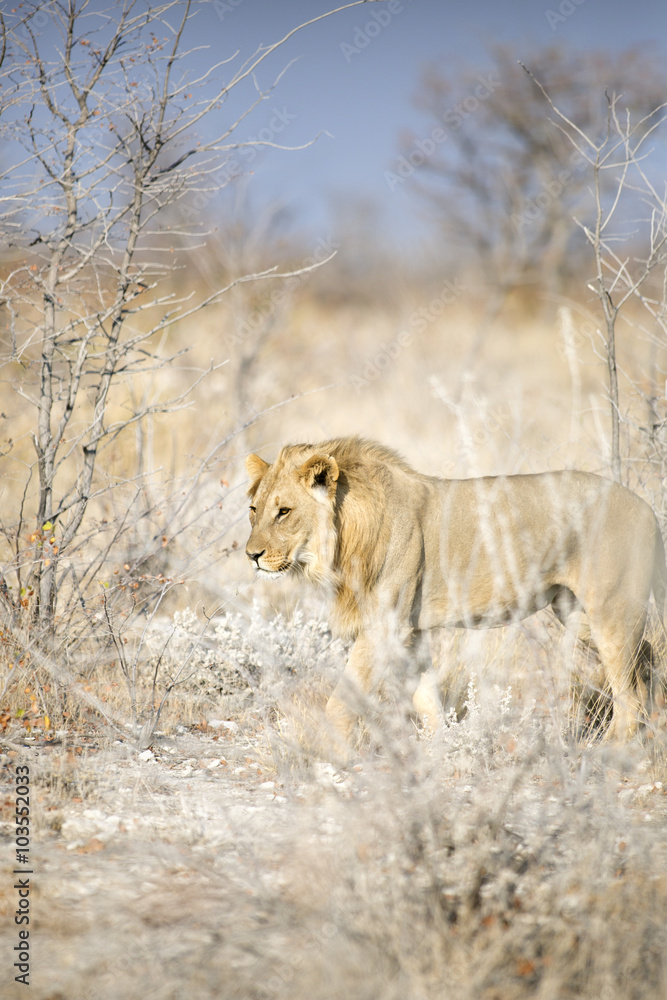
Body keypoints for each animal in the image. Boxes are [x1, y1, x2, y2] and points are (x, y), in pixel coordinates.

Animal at [244, 436, 666, 744]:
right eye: (253, 509)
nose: (251, 556)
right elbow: (426, 697)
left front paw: (327, 757)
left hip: (610, 611)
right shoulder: (410, 631)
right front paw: (440, 752)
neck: (344, 537)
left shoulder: (385, 627)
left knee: (628, 692)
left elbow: (342, 699)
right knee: (644, 662)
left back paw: (609, 755)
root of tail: (647, 508)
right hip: (577, 616)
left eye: (284, 512)